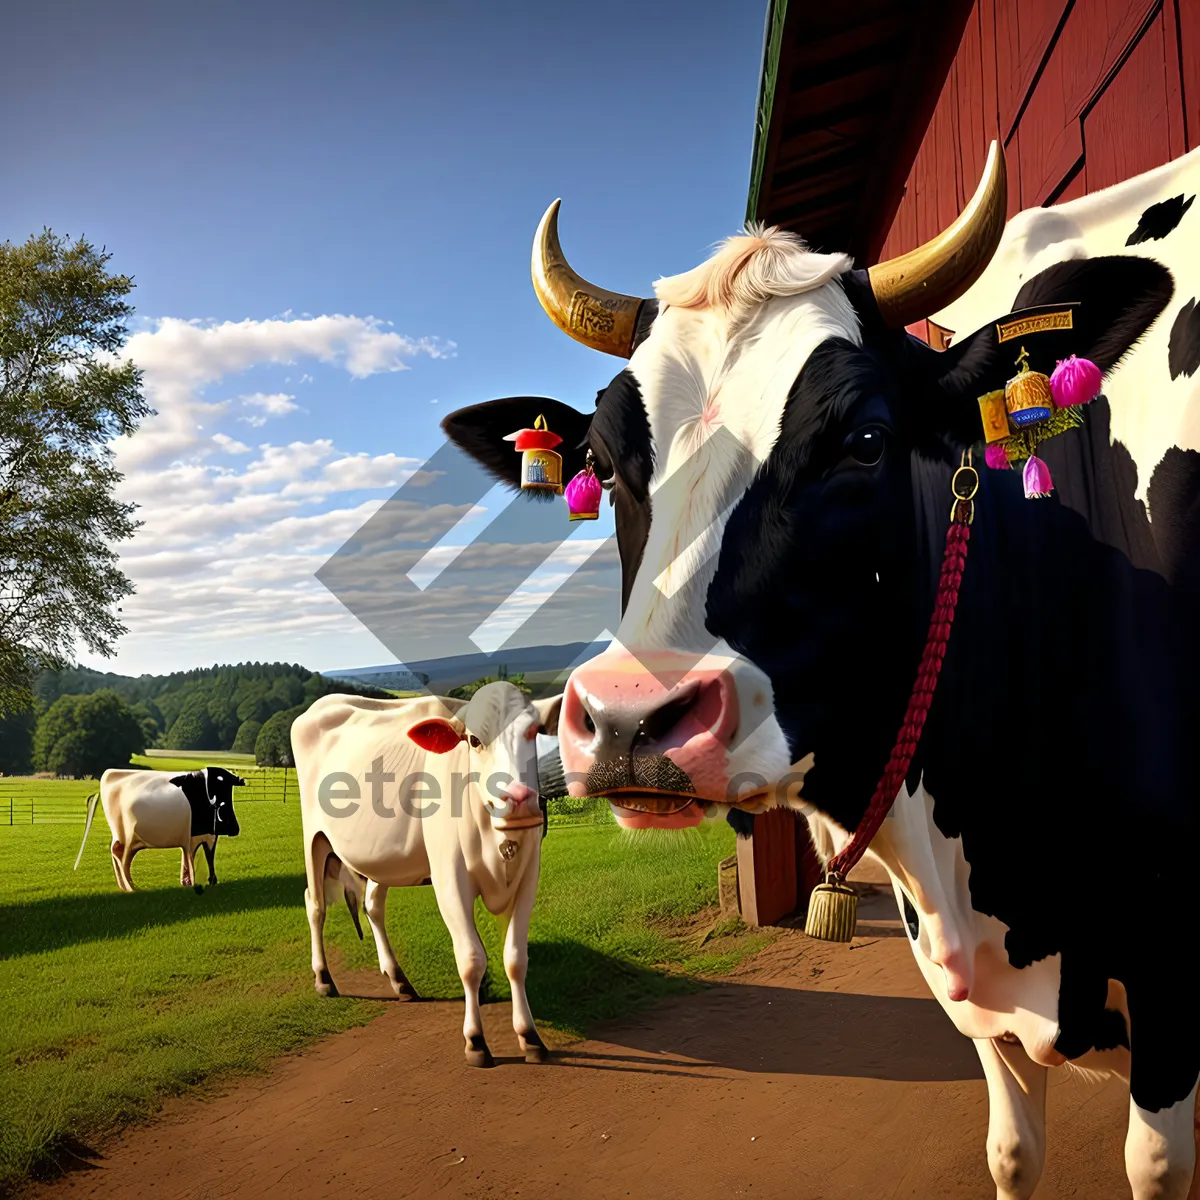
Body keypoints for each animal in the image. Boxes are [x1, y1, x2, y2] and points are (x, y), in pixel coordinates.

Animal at [75, 768, 246, 892]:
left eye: (228, 788)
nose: (233, 828)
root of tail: (111, 773)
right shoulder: (198, 836)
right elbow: (197, 858)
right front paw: (202, 881)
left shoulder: (202, 836)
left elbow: (195, 856)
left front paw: (189, 881)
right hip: (125, 835)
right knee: (119, 854)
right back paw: (131, 887)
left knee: (122, 856)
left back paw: (126, 886)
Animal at [290, 686, 561, 1070]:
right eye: (474, 740)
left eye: (534, 732)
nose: (520, 799)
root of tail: (324, 702)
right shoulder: (449, 879)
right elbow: (471, 959)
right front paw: (475, 1041)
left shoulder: (528, 876)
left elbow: (515, 959)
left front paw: (530, 1036)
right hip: (314, 837)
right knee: (315, 905)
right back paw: (324, 979)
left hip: (380, 856)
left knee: (372, 905)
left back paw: (400, 981)